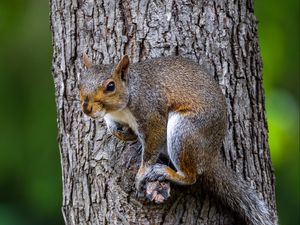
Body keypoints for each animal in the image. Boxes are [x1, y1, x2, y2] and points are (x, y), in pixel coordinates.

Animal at [78, 53, 276, 225]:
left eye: (110, 86)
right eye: (80, 84)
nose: (86, 108)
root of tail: (211, 155)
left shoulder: (151, 114)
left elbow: (151, 147)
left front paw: (142, 173)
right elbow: (112, 127)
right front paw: (121, 133)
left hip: (184, 131)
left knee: (191, 177)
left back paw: (166, 172)